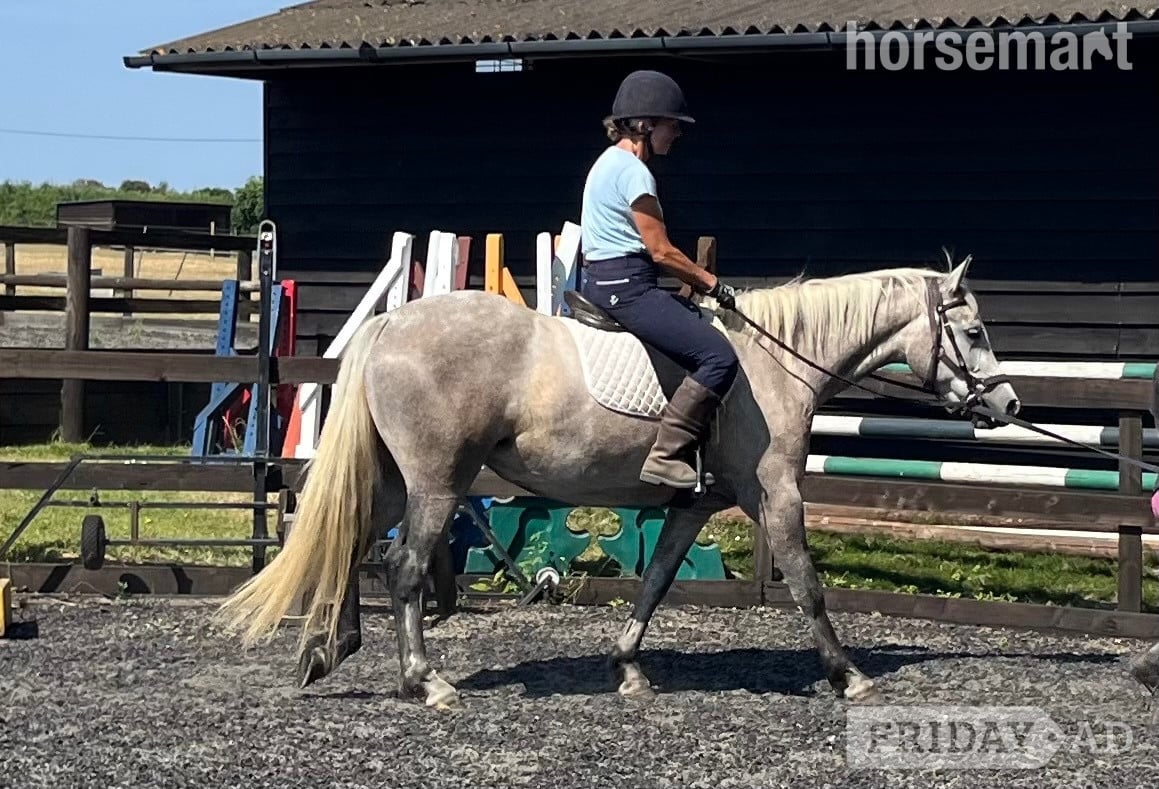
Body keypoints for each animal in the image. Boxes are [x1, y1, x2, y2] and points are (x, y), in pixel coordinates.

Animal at [214, 253, 1021, 709]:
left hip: (392, 477)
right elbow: (805, 583)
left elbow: (656, 581)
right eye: (975, 331)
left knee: (351, 541)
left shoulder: (695, 507)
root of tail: (390, 325)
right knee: (403, 566)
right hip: (438, 482)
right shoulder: (777, 495)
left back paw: (329, 651)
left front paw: (627, 669)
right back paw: (425, 681)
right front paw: (847, 674)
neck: (773, 361)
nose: (1008, 404)